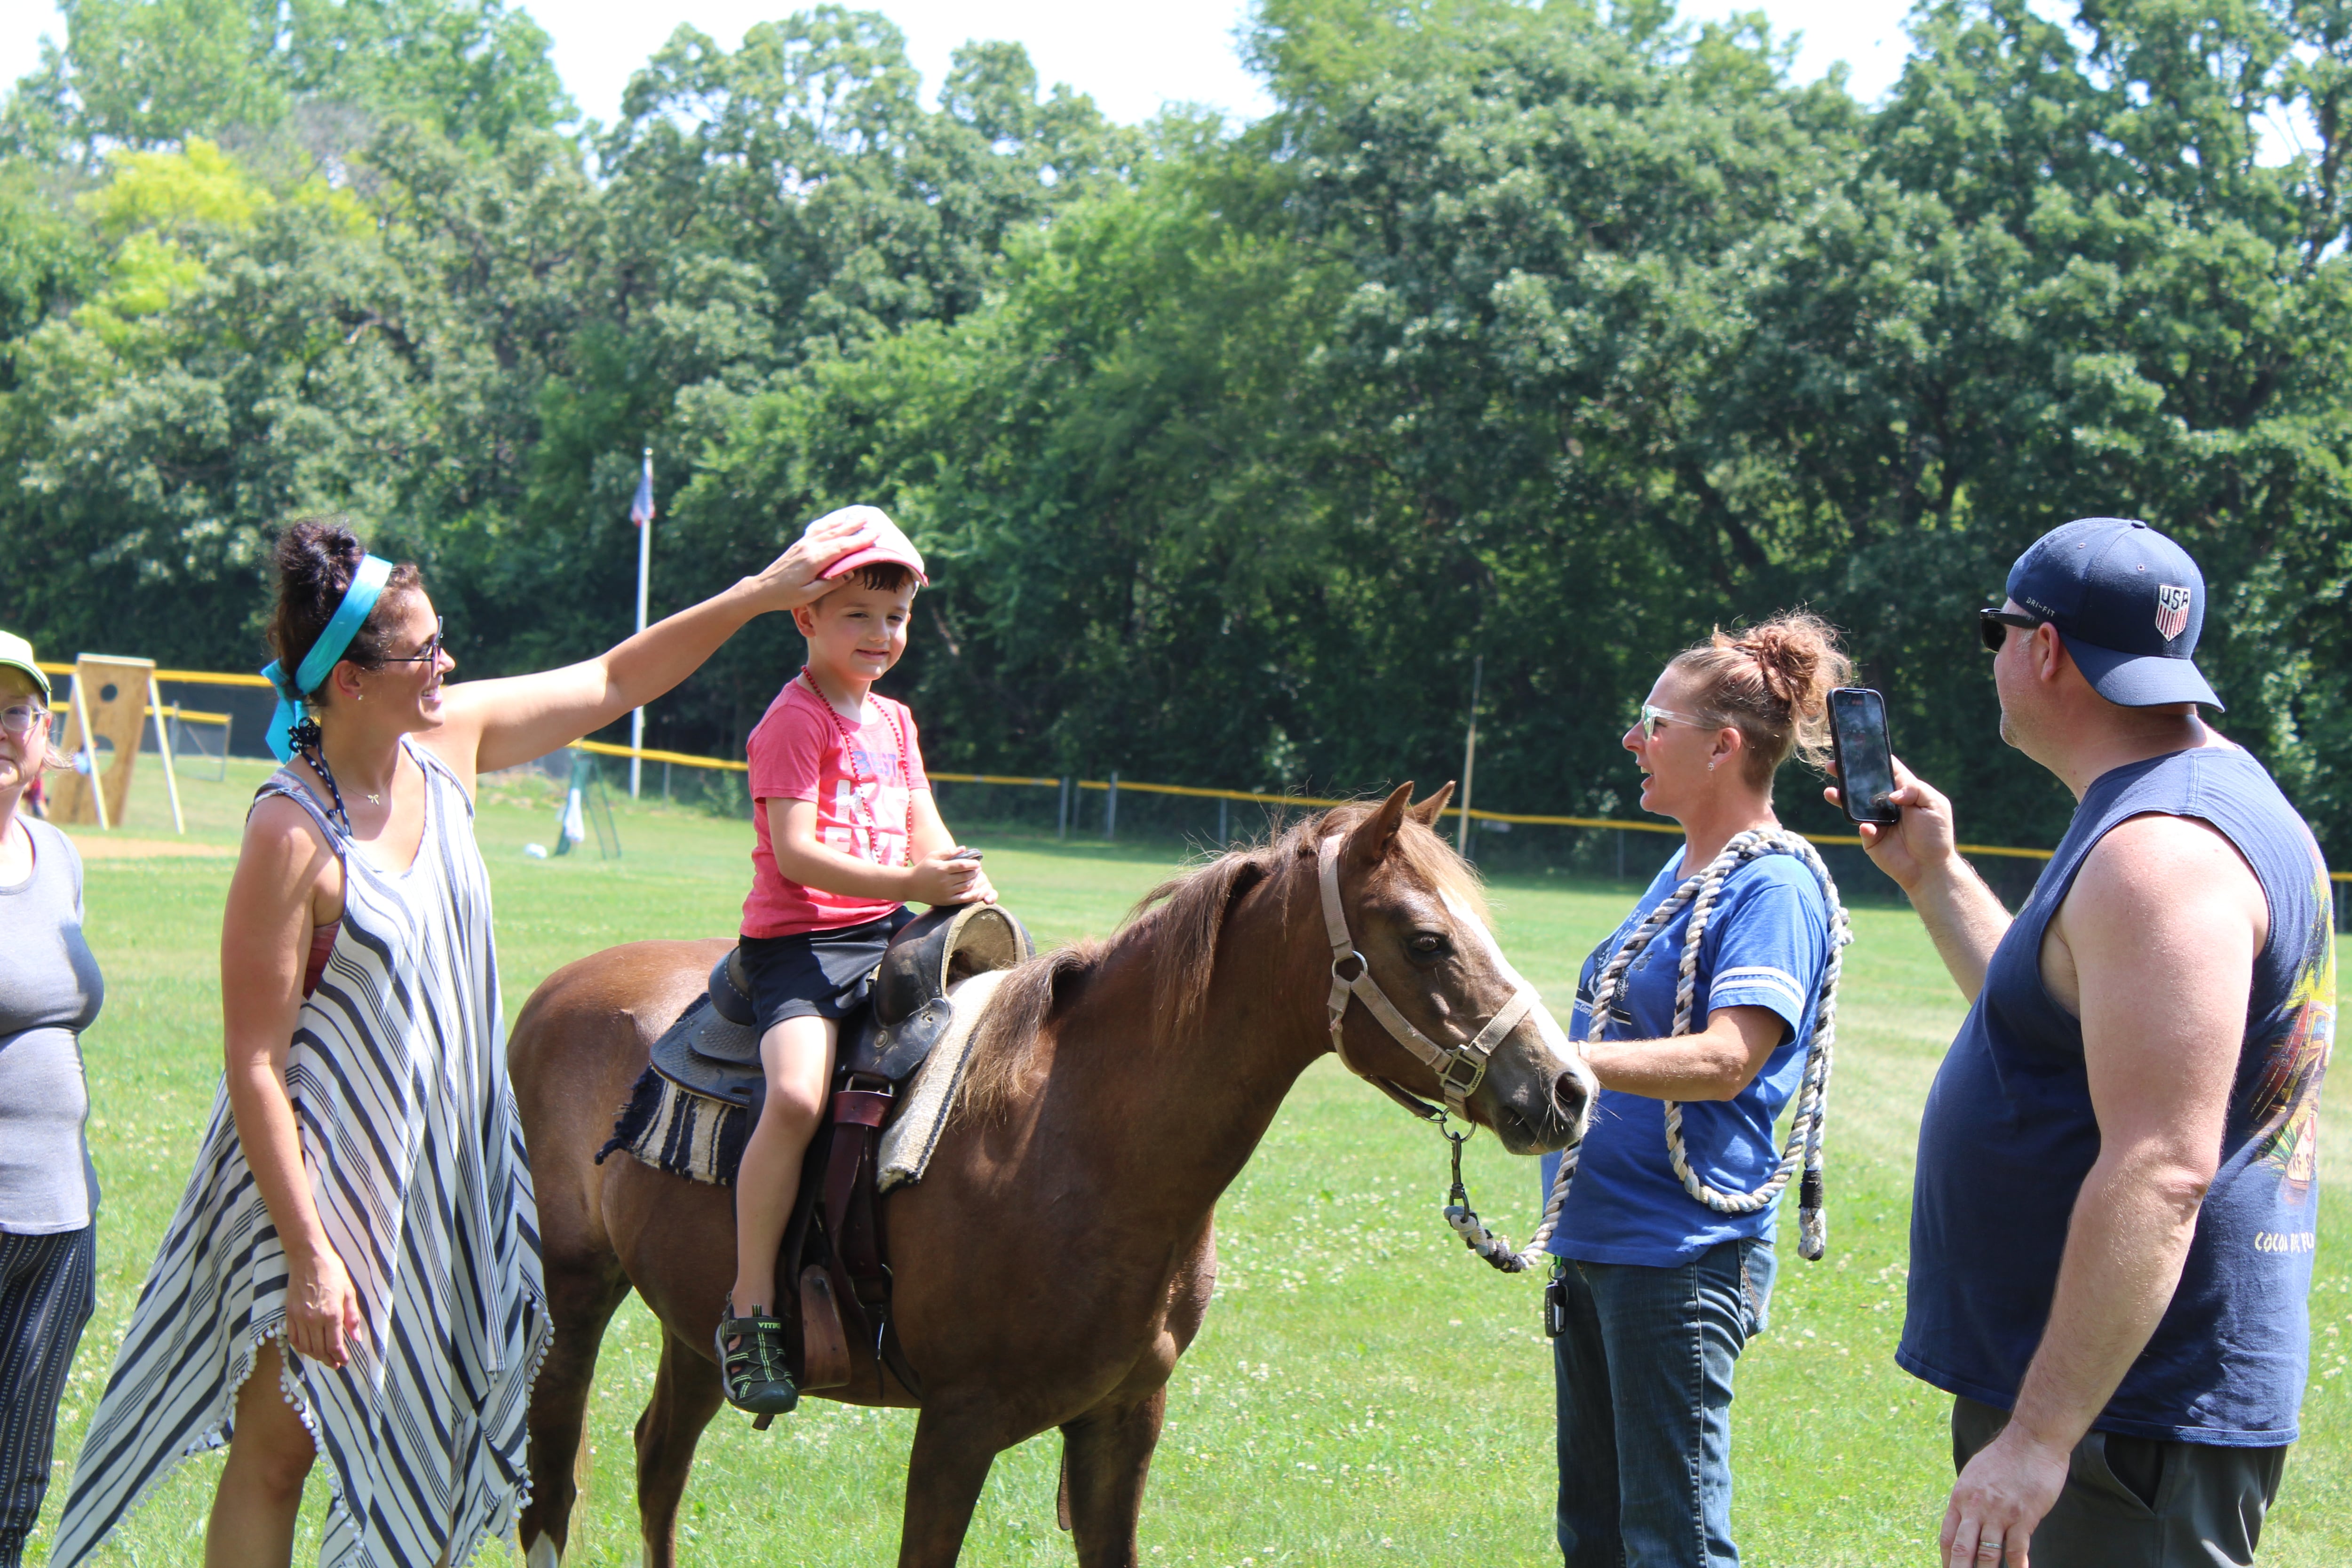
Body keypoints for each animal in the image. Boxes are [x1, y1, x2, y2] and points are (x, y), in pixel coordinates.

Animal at [506, 785, 1590, 1568]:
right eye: (1428, 939)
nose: (1567, 1087)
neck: (1076, 1137)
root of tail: (558, 989)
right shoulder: (956, 1425)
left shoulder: (1122, 1420)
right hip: (573, 1295)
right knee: (550, 1488)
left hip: (697, 1319)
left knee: (658, 1462)